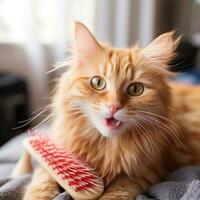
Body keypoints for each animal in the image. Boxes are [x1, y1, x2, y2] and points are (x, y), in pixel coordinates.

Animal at [19, 22, 200, 199]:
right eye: (98, 83)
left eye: (136, 89)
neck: (106, 148)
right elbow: (42, 177)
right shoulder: (59, 149)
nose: (114, 106)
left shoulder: (150, 170)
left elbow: (119, 190)